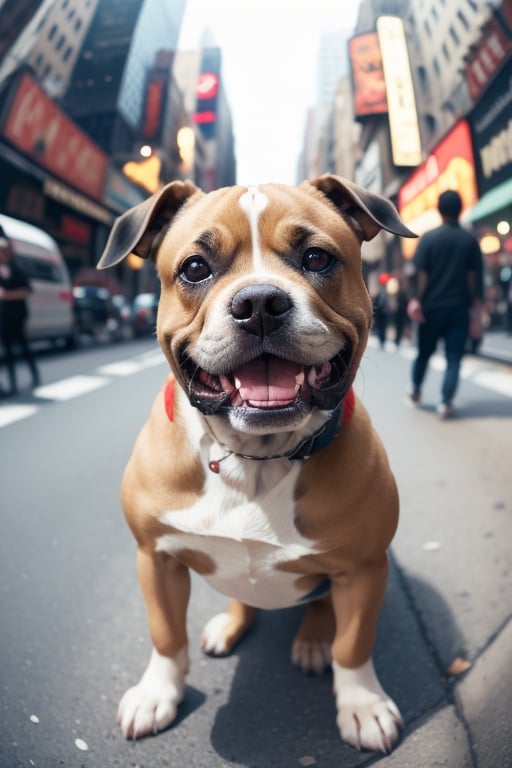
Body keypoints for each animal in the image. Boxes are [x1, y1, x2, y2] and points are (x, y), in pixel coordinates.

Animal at [99, 174, 416, 752]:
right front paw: (157, 693)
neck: (254, 455)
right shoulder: (155, 557)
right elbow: (165, 633)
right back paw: (230, 626)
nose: (260, 302)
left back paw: (313, 640)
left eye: (317, 257)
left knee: (322, 608)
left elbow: (355, 643)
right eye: (195, 268)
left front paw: (362, 704)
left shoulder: (364, 569)